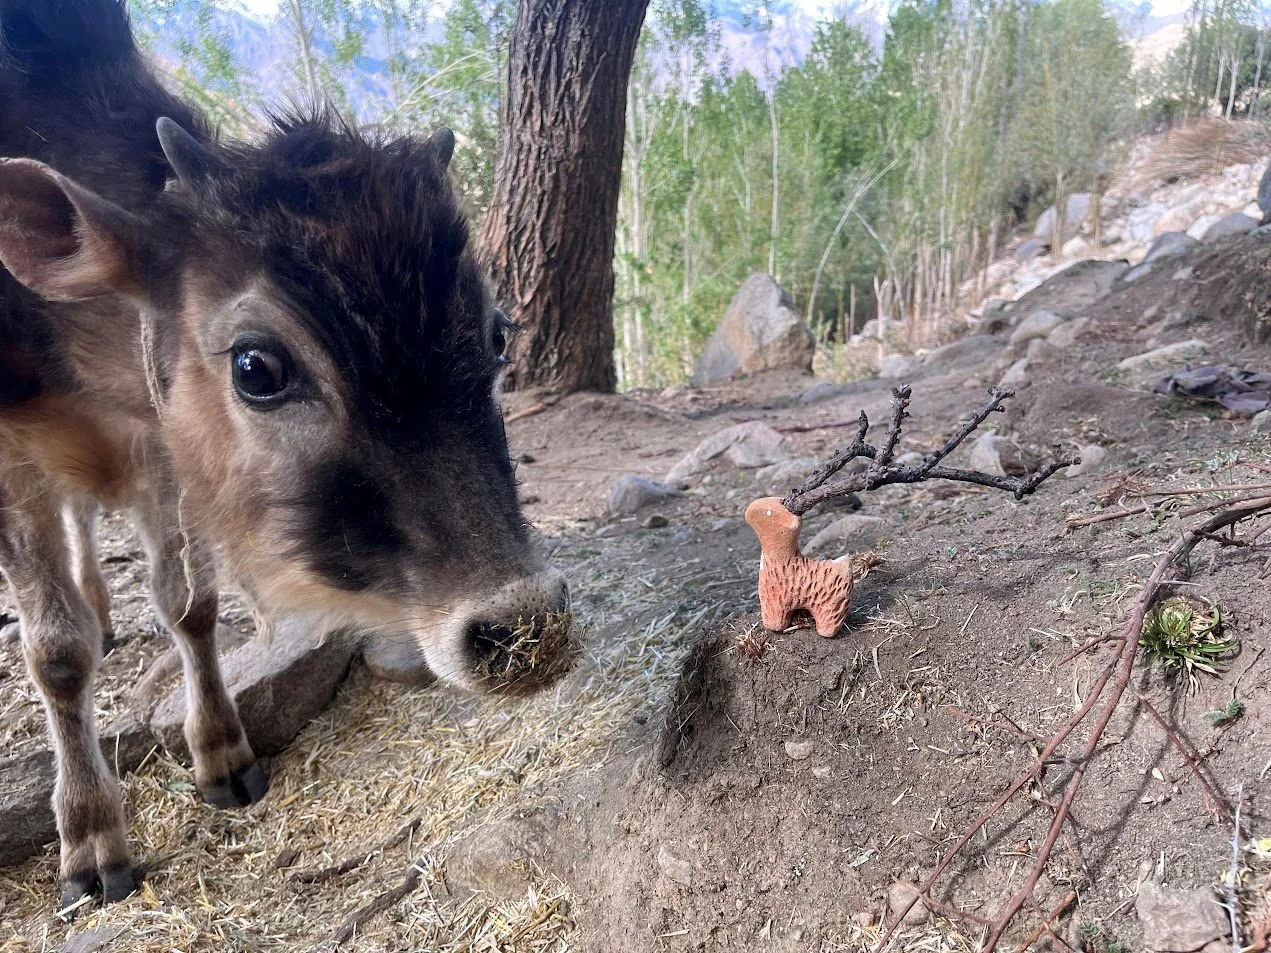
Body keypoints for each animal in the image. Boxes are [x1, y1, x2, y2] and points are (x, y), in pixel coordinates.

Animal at [0, 0, 574, 908]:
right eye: (256, 367)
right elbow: (55, 652)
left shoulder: (166, 447)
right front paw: (90, 836)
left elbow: (189, 603)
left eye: (494, 333)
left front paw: (221, 751)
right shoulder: (15, 452)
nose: (525, 626)